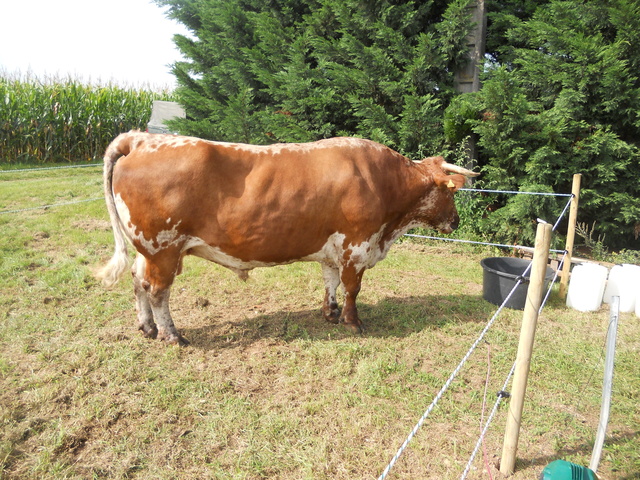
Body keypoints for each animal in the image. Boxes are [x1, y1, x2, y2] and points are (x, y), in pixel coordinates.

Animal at [94, 132, 476, 344]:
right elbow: (352, 288)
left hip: (147, 249)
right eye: (451, 192)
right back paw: (172, 335)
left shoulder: (332, 248)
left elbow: (330, 281)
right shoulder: (357, 246)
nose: (457, 221)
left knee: (138, 280)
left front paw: (330, 313)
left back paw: (147, 328)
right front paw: (353, 322)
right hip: (164, 249)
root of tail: (141, 139)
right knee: (158, 291)